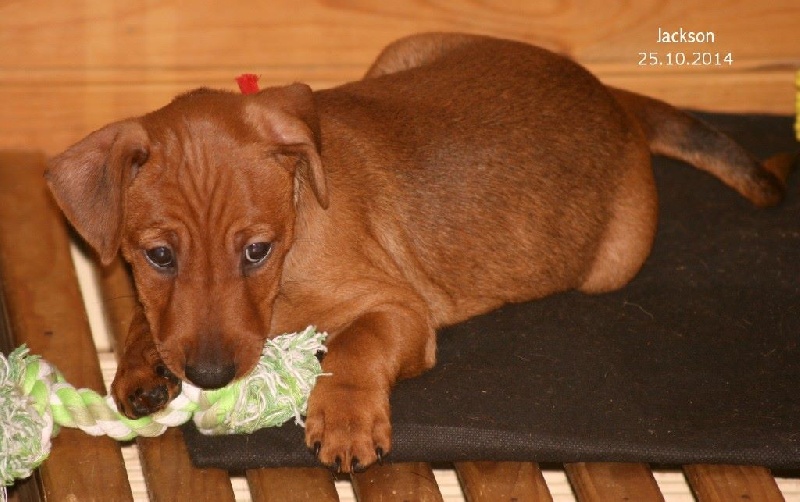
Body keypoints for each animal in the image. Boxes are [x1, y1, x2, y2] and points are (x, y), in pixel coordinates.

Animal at [45, 33, 793, 473]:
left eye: (257, 250)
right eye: (159, 257)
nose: (209, 374)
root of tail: (612, 100)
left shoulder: (398, 309)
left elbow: (355, 347)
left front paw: (346, 419)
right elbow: (148, 316)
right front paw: (140, 362)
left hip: (614, 261)